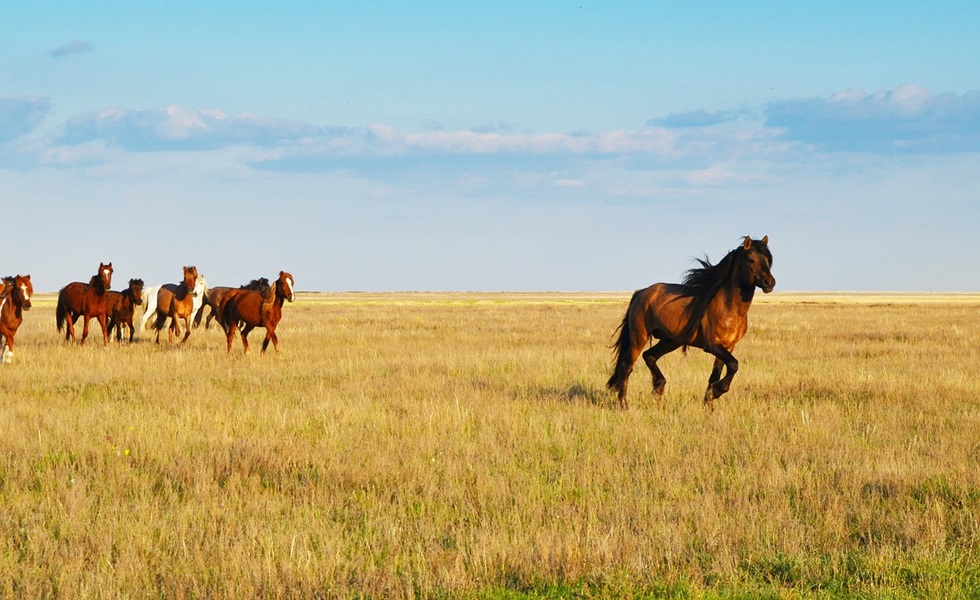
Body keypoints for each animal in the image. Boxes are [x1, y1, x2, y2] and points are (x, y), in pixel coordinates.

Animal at [604, 237, 772, 410]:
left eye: (768, 260)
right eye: (751, 259)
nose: (770, 283)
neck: (728, 306)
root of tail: (641, 292)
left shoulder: (728, 346)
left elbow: (716, 374)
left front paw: (709, 403)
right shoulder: (712, 345)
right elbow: (733, 364)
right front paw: (717, 391)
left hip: (671, 341)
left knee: (649, 356)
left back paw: (658, 389)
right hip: (639, 338)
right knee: (626, 366)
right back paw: (624, 405)